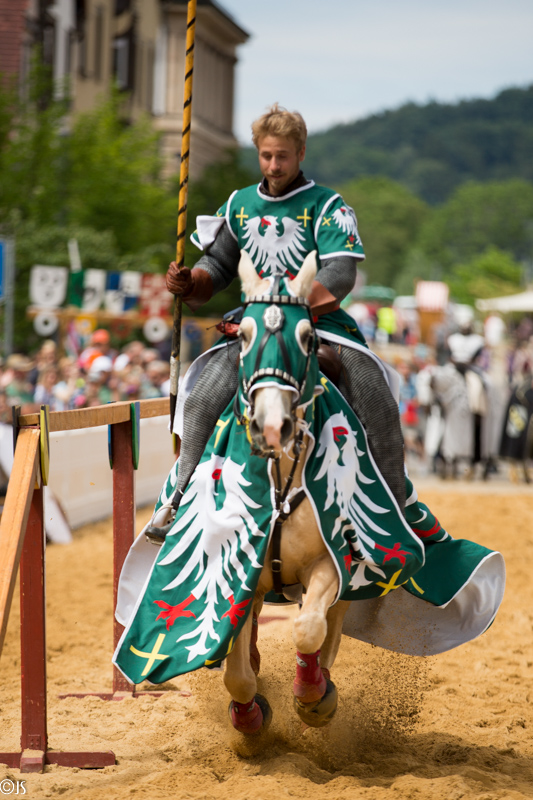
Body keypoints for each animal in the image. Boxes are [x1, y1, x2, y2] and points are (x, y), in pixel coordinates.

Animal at [224, 253, 350, 736]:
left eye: (307, 336)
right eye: (243, 334)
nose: (272, 425)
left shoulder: (329, 564)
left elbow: (308, 628)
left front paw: (313, 694)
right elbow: (236, 674)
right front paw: (249, 722)